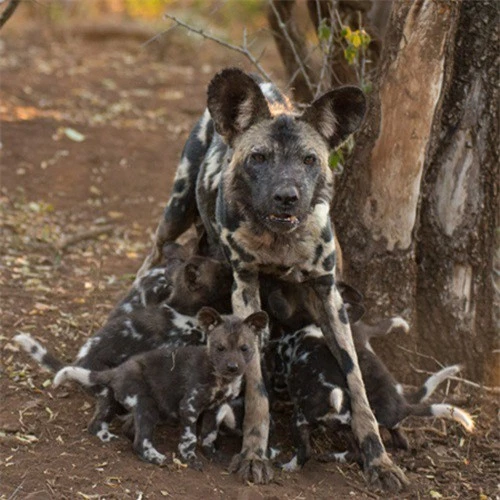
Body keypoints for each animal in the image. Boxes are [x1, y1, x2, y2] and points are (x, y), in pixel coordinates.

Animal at [52, 306, 268, 470]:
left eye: (244, 349)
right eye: (220, 348)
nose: (232, 367)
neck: (222, 380)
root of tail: (117, 370)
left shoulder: (215, 409)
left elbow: (209, 435)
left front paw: (212, 454)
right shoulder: (189, 407)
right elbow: (189, 438)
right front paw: (191, 460)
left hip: (111, 401)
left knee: (97, 424)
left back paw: (107, 436)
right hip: (147, 406)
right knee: (140, 442)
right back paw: (156, 458)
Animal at [139, 68, 408, 486]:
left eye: (309, 160)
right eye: (259, 157)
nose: (286, 196)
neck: (282, 242)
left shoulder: (329, 296)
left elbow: (357, 383)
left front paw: (378, 459)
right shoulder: (245, 290)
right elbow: (255, 387)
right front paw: (253, 453)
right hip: (177, 210)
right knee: (151, 253)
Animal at [274, 320, 472, 472]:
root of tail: (403, 405)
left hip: (303, 420)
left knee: (308, 451)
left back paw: (292, 465)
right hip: (355, 426)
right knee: (397, 443)